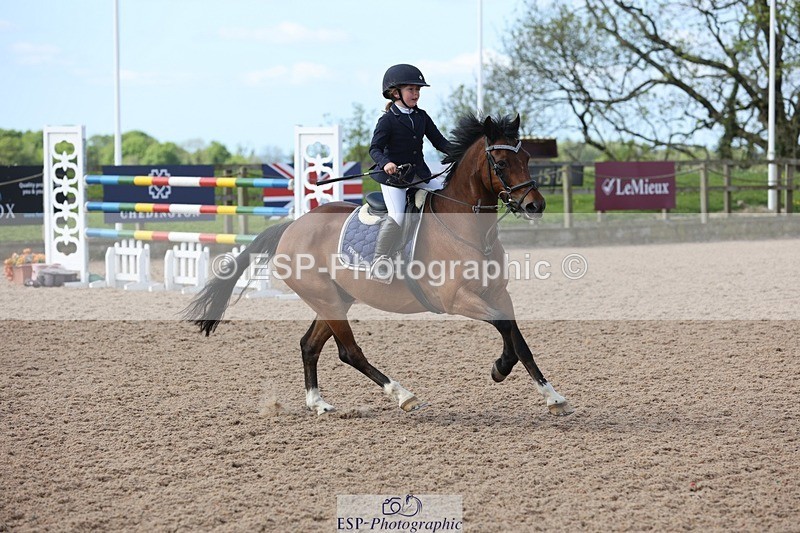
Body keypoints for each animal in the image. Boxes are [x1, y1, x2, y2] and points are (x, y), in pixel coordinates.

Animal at [184, 113, 573, 417]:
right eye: (502, 164)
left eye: (527, 159)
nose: (536, 206)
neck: (469, 231)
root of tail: (292, 226)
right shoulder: (457, 299)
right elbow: (504, 327)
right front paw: (499, 369)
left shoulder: (498, 294)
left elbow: (518, 339)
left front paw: (552, 396)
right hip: (327, 299)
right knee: (349, 352)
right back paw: (403, 395)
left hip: (335, 299)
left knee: (310, 345)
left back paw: (319, 404)